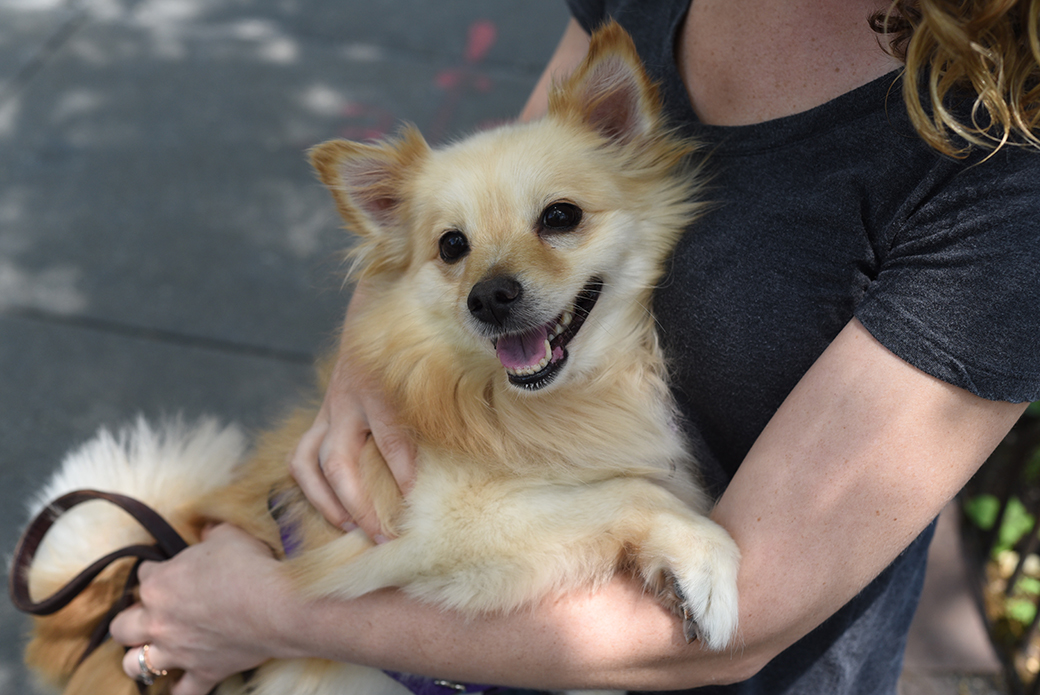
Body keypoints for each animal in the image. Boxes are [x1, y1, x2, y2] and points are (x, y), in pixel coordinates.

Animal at [12, 21, 736, 695]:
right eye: (451, 246)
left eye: (561, 216)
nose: (489, 296)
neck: (558, 402)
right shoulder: (441, 534)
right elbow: (628, 488)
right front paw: (708, 562)